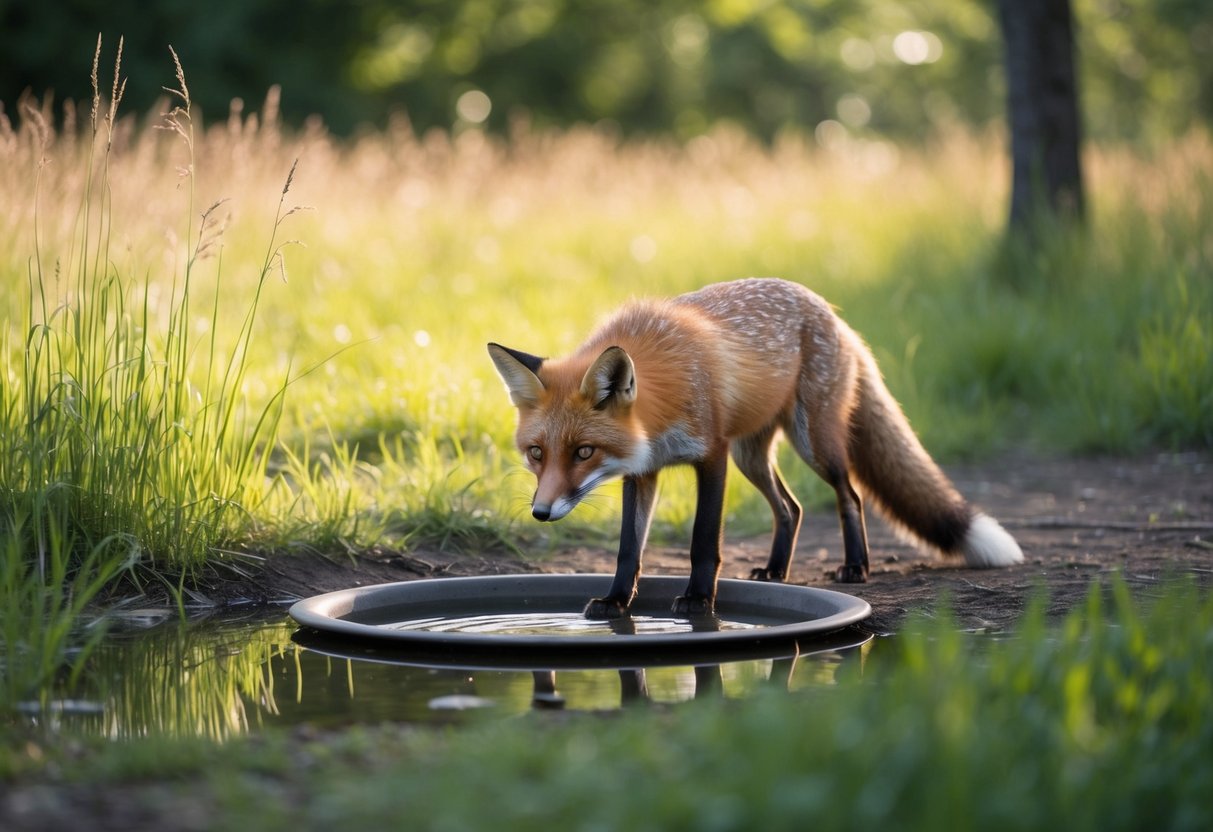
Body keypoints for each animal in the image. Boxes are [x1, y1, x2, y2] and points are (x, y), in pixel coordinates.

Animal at [488, 277, 1023, 619]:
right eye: (537, 454)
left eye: (583, 453)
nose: (540, 513)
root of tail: (832, 313)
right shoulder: (643, 471)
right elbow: (628, 550)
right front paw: (617, 602)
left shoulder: (712, 455)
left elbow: (704, 541)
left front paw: (699, 601)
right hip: (753, 457)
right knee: (791, 507)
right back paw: (776, 570)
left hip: (812, 445)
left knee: (849, 496)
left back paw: (855, 566)